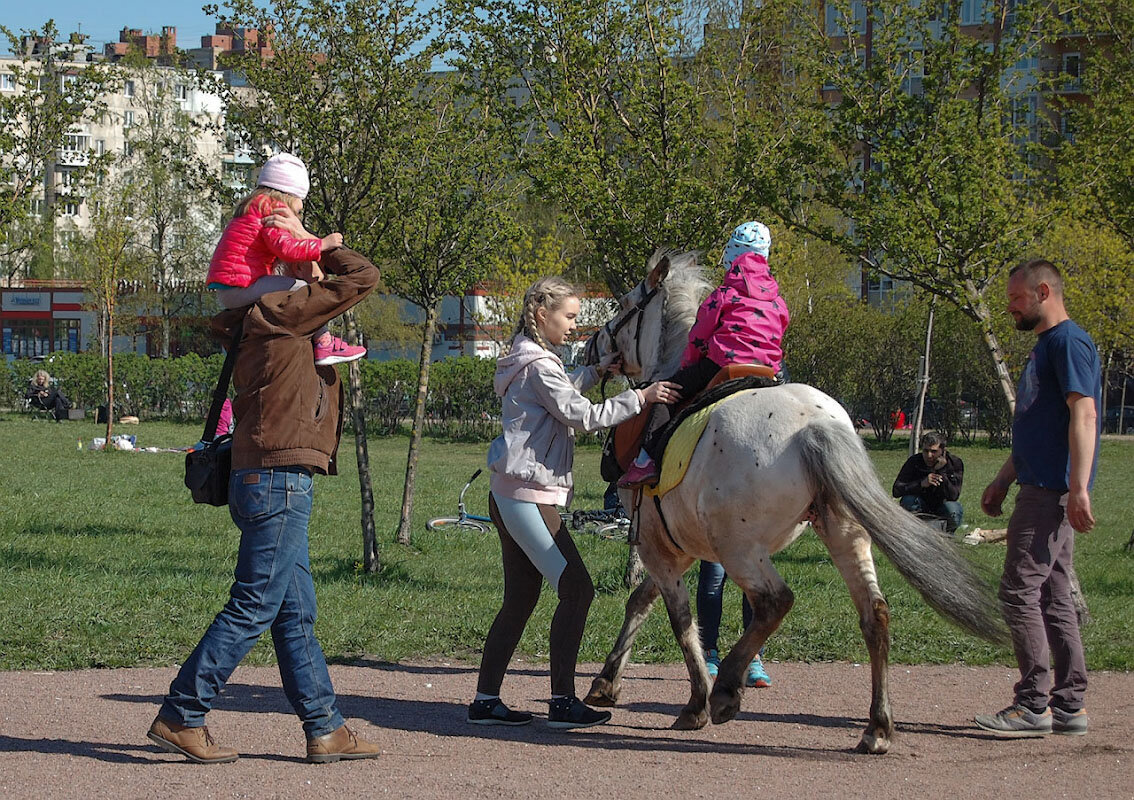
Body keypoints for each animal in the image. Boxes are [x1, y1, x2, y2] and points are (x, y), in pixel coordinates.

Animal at [580, 248, 1006, 748]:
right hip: (842, 532)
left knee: (775, 602)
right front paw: (606, 681)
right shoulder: (677, 548)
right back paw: (877, 727)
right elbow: (642, 601)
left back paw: (726, 690)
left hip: (740, 549)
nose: (590, 346)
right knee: (875, 613)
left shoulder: (657, 545)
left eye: (625, 304)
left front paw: (695, 702)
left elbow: (680, 619)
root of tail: (814, 427)